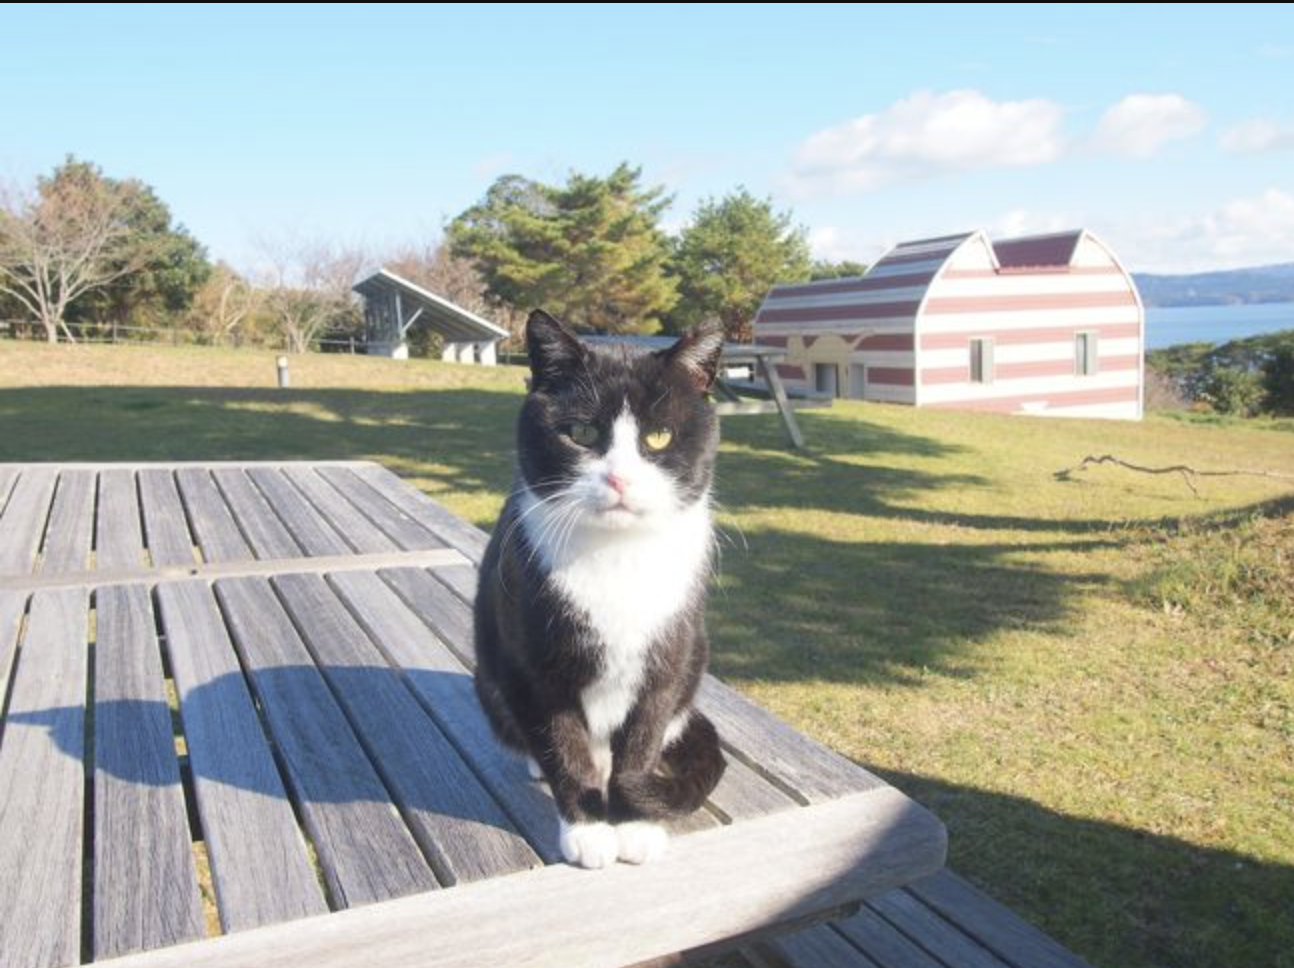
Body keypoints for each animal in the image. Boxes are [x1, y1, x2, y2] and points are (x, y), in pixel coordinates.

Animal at [478, 310, 729, 869]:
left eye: (658, 438)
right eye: (581, 432)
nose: (619, 479)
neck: (616, 556)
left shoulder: (668, 657)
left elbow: (643, 740)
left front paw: (635, 823)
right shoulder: (532, 666)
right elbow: (563, 745)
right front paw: (589, 830)